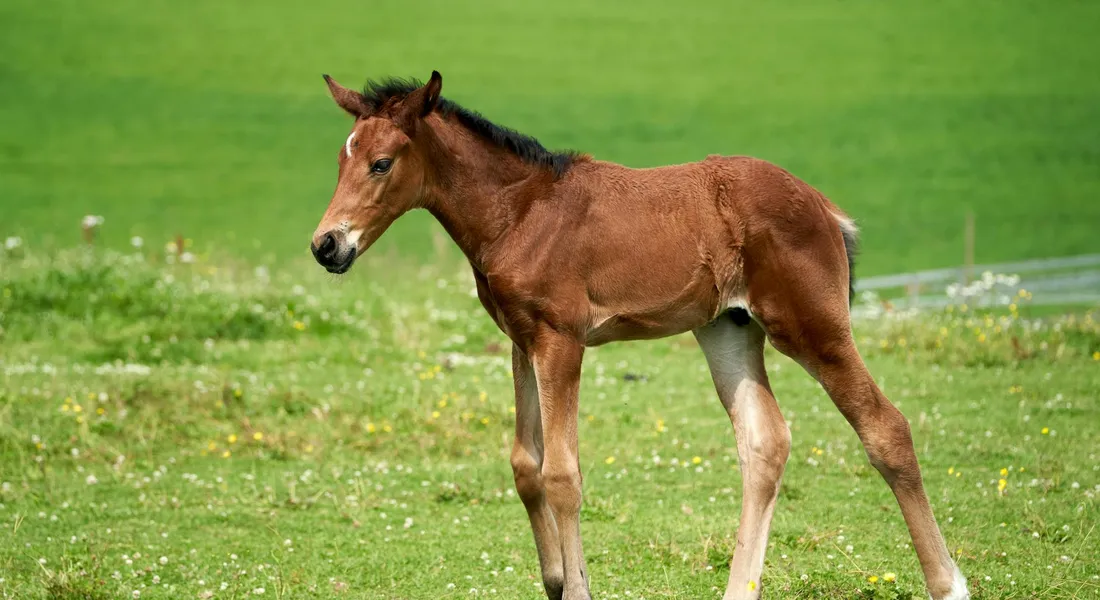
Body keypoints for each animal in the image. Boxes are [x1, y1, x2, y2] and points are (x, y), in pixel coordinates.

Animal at [309, 71, 969, 600]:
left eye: (382, 163)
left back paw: (948, 584)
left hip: (813, 328)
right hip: (727, 330)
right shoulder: (522, 341)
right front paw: (556, 581)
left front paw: (578, 590)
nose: (326, 246)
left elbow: (562, 475)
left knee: (885, 427)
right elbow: (526, 465)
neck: (520, 212)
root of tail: (825, 207)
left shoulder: (561, 341)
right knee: (765, 442)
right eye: (340, 161)